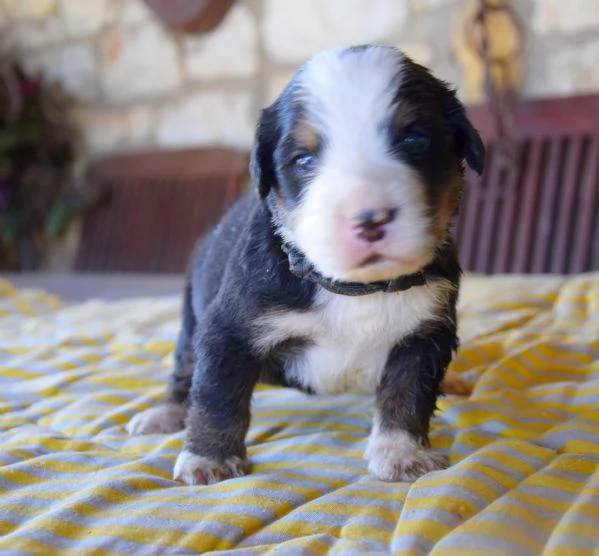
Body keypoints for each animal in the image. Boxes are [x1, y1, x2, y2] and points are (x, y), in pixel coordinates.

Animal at [126, 45, 482, 484]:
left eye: (413, 138)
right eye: (304, 159)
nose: (369, 219)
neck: (355, 288)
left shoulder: (424, 334)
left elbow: (406, 395)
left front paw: (402, 453)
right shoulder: (229, 328)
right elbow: (215, 396)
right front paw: (208, 459)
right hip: (192, 316)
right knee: (184, 369)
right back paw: (167, 412)